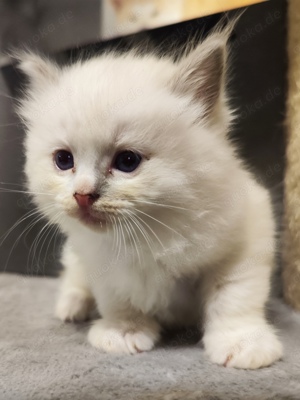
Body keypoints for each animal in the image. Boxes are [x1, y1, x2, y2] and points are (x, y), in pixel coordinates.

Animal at [17, 26, 282, 368]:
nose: (82, 195)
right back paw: (72, 307)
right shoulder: (101, 262)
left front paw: (242, 346)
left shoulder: (246, 241)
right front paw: (123, 333)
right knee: (73, 278)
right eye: (64, 160)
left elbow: (234, 300)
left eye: (127, 161)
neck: (150, 236)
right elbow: (119, 301)